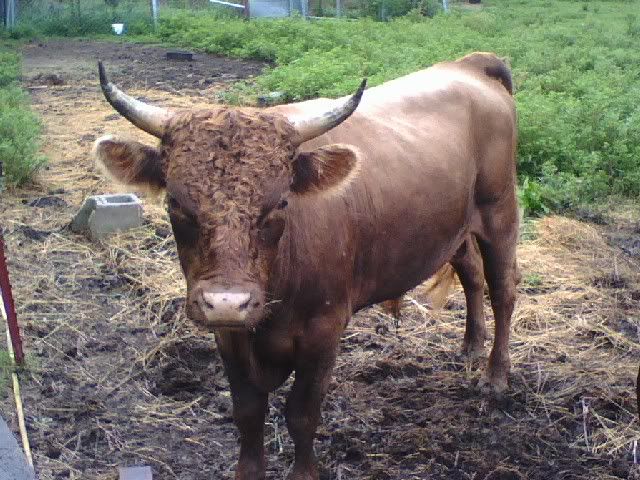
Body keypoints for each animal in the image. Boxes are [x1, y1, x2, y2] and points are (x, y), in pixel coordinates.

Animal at [93, 51, 519, 480]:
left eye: (281, 202)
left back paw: (496, 378)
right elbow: (248, 413)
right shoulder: (228, 337)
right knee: (471, 273)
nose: (228, 302)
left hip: (499, 213)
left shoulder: (323, 332)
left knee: (503, 291)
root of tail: (467, 64)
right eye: (175, 203)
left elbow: (302, 415)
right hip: (457, 227)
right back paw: (470, 347)